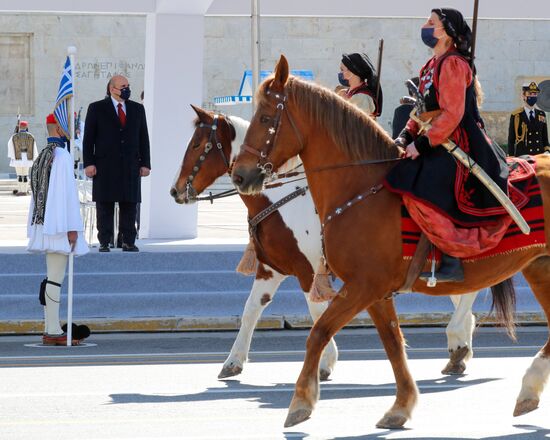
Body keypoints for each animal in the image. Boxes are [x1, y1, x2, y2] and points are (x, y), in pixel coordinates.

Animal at [172, 105, 484, 380]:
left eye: (198, 144)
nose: (175, 191)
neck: (278, 200)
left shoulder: (308, 270)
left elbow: (316, 310)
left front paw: (325, 362)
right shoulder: (271, 268)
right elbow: (251, 309)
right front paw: (233, 362)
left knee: (469, 292)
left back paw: (458, 341)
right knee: (463, 292)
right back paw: (460, 347)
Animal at [231, 55, 550, 430]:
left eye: (266, 118)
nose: (240, 175)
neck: (359, 186)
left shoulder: (362, 285)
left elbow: (319, 332)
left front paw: (301, 402)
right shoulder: (374, 290)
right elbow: (392, 343)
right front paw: (400, 406)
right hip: (539, 267)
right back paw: (527, 389)